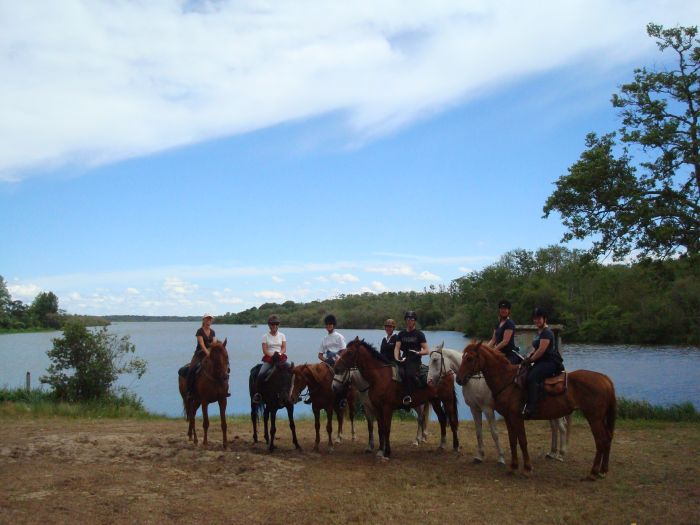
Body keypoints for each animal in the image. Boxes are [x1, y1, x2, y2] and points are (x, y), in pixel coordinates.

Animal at [426, 340, 568, 462]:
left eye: (435, 360)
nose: (429, 381)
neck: (475, 380)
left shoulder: (488, 409)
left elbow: (494, 433)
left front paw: (501, 457)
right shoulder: (474, 409)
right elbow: (478, 432)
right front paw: (480, 455)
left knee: (561, 428)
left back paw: (560, 454)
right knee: (554, 427)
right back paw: (552, 452)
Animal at [456, 340, 616, 478]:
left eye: (469, 358)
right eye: (463, 357)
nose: (458, 379)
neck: (508, 380)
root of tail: (605, 379)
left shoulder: (515, 417)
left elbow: (522, 441)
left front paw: (527, 468)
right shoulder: (508, 417)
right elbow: (512, 441)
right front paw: (513, 466)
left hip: (594, 418)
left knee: (600, 440)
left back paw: (593, 472)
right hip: (598, 418)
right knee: (607, 438)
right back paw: (603, 470)